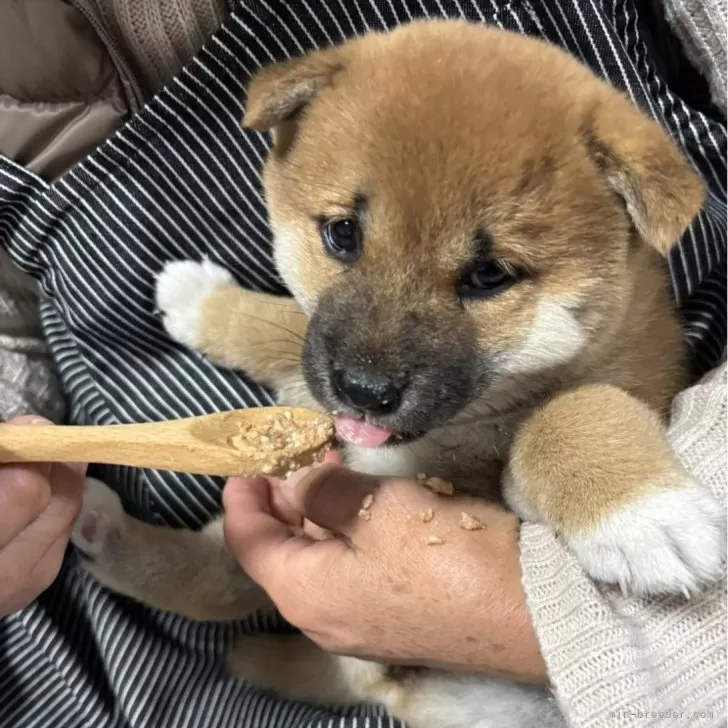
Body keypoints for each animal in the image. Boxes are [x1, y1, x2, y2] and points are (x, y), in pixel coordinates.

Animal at [71, 21, 724, 728]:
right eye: (342, 234)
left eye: (489, 275)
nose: (363, 391)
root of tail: (384, 687)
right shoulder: (312, 366)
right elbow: (280, 325)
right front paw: (202, 302)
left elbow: (571, 408)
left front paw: (645, 515)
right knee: (217, 575)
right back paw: (102, 530)